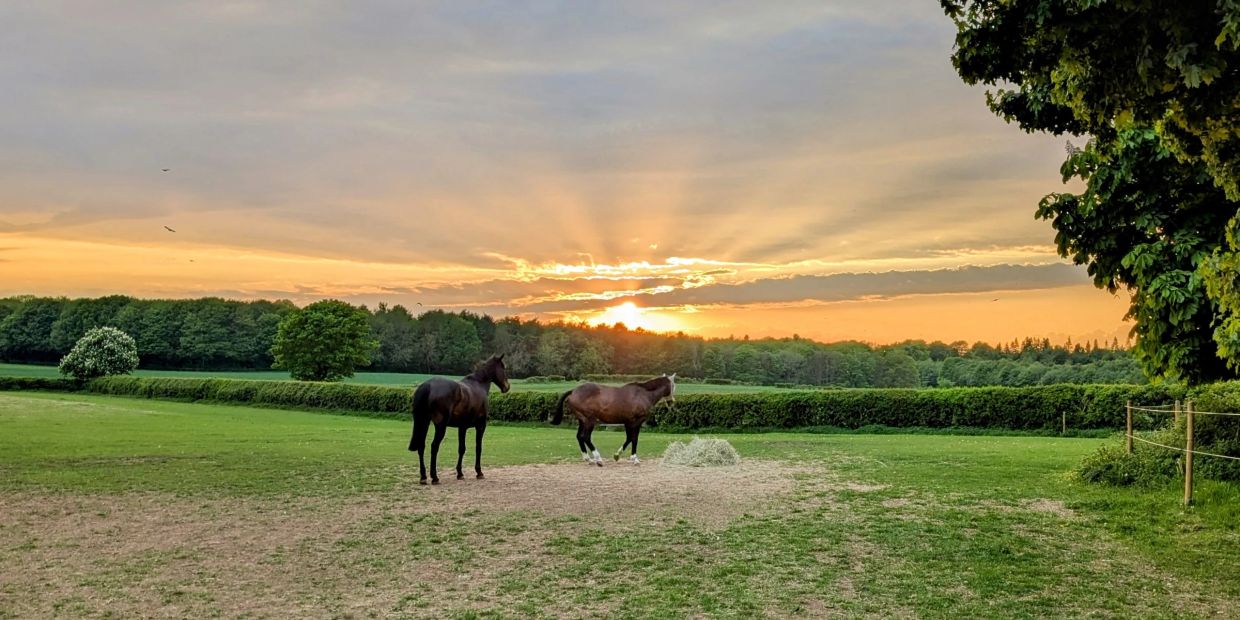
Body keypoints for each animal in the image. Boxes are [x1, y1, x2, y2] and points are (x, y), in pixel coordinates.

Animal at [408, 354, 510, 485]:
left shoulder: (462, 427)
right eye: (503, 367)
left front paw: (460, 473)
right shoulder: (481, 426)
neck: (478, 385)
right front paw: (479, 472)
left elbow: (461, 449)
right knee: (434, 447)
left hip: (424, 422)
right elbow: (478, 447)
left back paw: (423, 477)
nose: (507, 387)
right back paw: (435, 477)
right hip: (440, 426)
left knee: (421, 446)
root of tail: (428, 385)